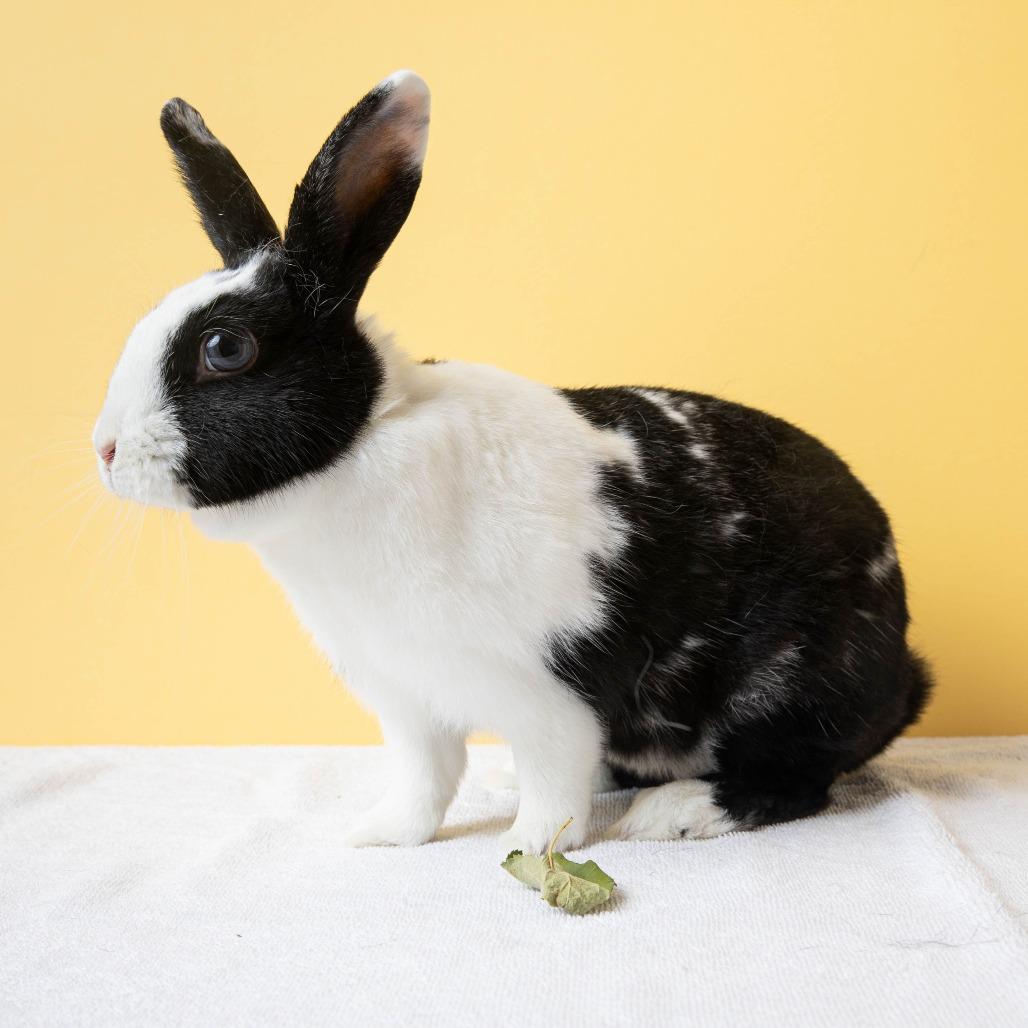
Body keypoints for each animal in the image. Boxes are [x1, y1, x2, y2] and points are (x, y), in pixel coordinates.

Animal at [94, 70, 932, 853]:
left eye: (225, 349)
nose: (103, 450)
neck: (360, 450)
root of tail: (903, 671)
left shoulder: (547, 692)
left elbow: (554, 781)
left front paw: (529, 848)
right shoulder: (405, 696)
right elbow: (426, 779)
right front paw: (383, 834)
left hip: (792, 686)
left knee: (794, 776)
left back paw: (677, 812)